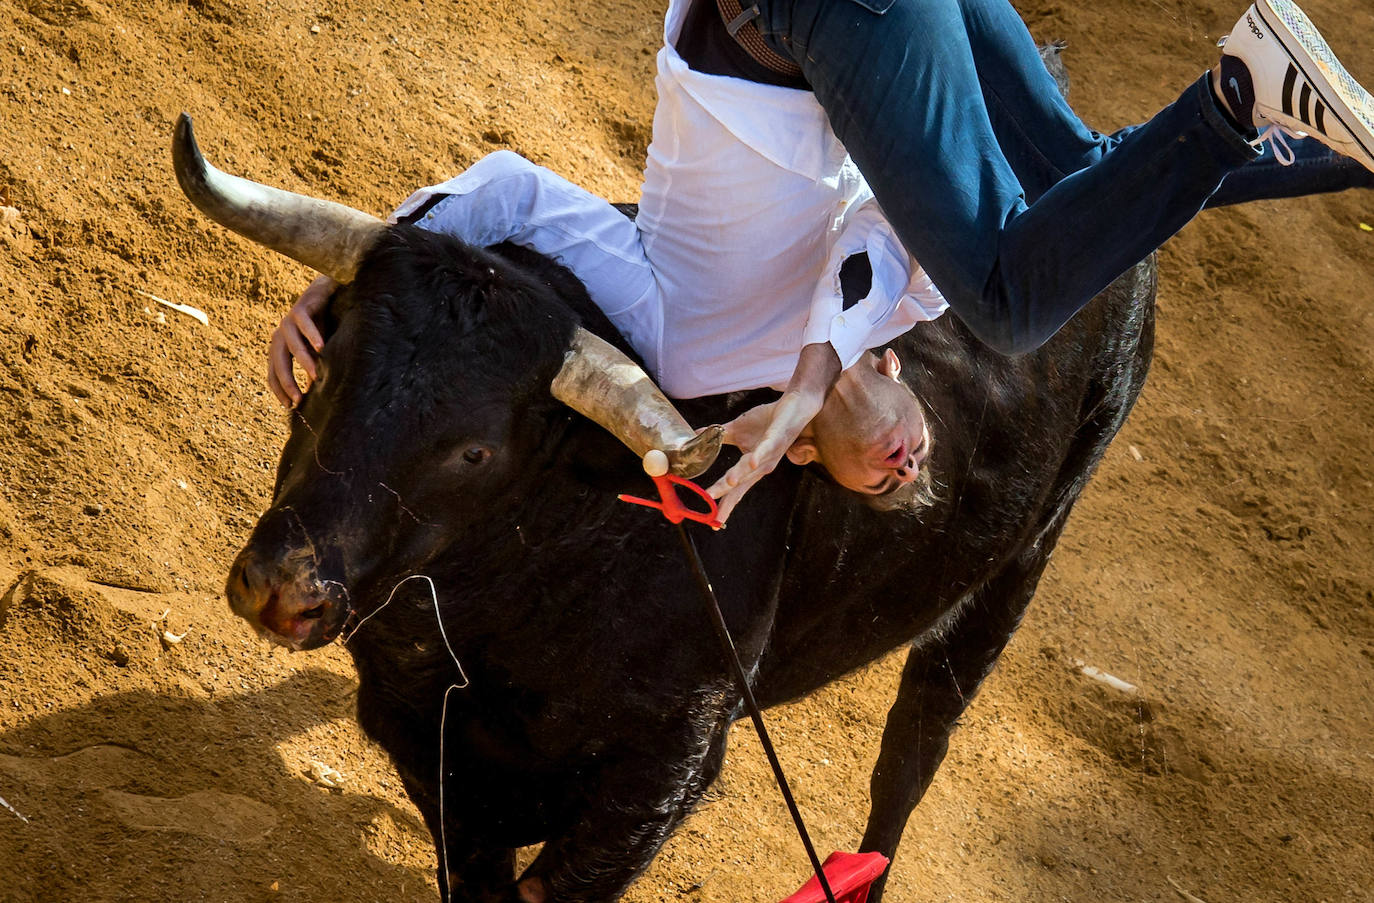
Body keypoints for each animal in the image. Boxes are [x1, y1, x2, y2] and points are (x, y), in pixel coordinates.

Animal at [211, 51, 1159, 903]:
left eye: (474, 451)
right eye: (324, 370)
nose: (281, 586)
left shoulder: (662, 774)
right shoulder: (423, 734)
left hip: (1022, 563)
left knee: (915, 746)